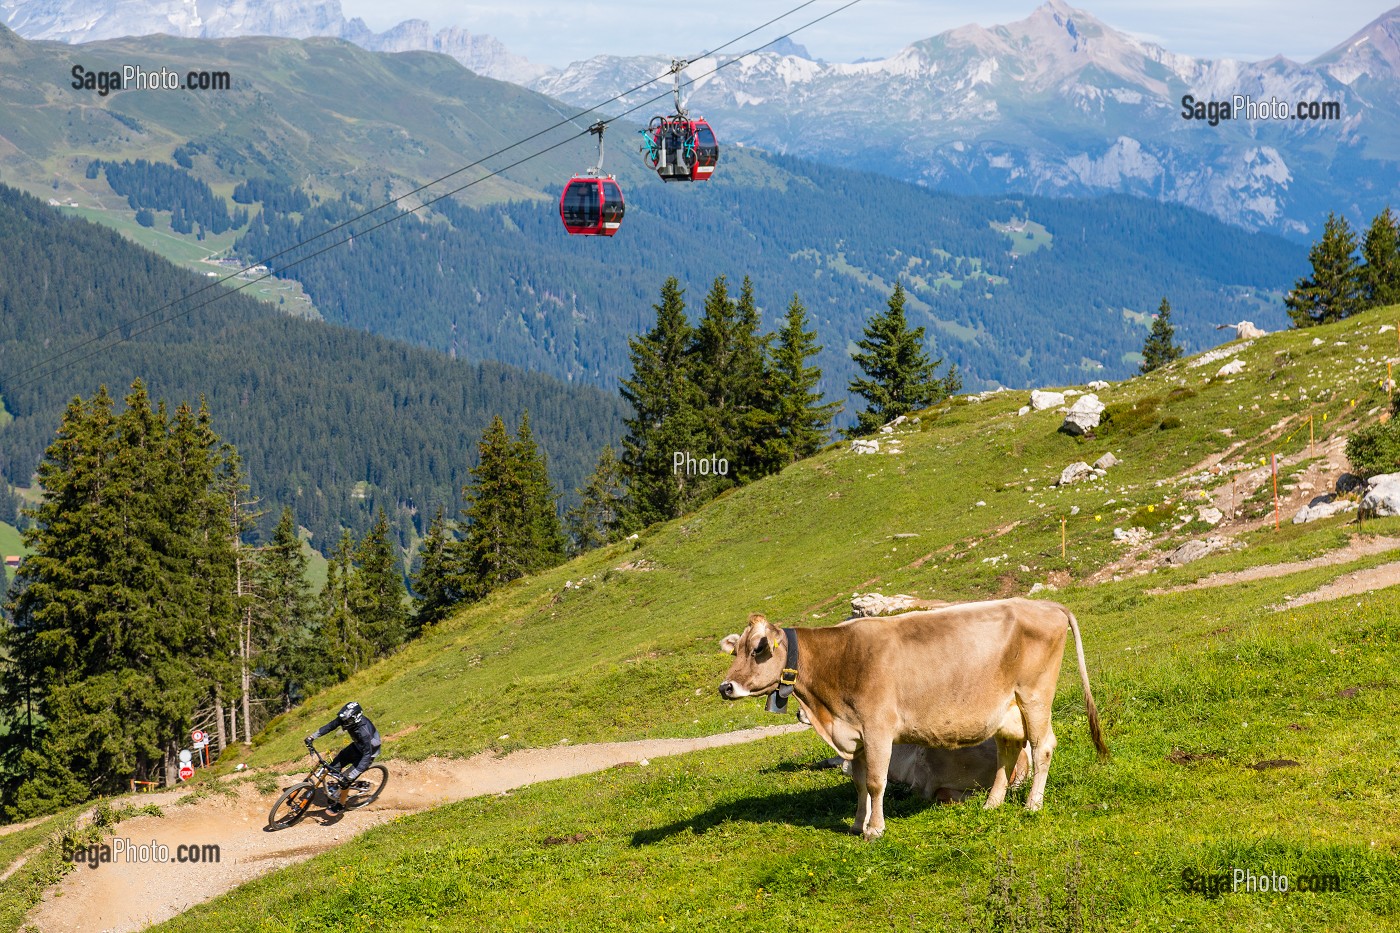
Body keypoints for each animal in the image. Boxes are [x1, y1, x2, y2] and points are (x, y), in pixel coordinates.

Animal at [718, 598, 1107, 839]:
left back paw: (1032, 806)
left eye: (758, 648)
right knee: (1008, 752)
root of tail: (1047, 605)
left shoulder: (877, 728)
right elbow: (859, 782)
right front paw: (857, 824)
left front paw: (875, 830)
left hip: (1034, 696)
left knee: (1042, 747)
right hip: (1004, 709)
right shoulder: (856, 734)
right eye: (736, 650)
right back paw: (992, 803)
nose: (726, 687)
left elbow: (877, 782)